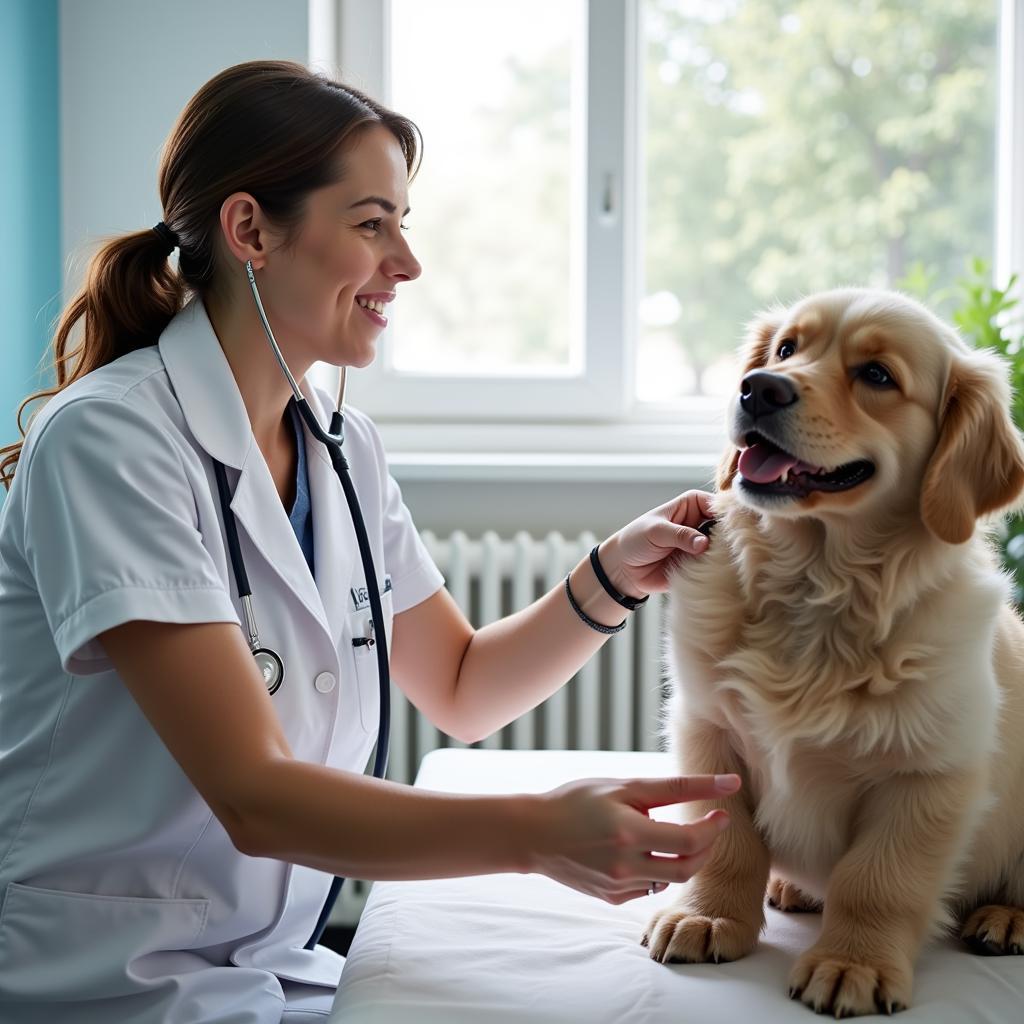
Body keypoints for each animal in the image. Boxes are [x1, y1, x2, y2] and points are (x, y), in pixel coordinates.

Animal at [643, 288, 1024, 1015]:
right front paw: (709, 916)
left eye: (876, 375)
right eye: (787, 349)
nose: (758, 389)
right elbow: (727, 840)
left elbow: (877, 879)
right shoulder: (709, 731)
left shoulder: (927, 776)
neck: (817, 589)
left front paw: (855, 963)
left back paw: (1009, 917)